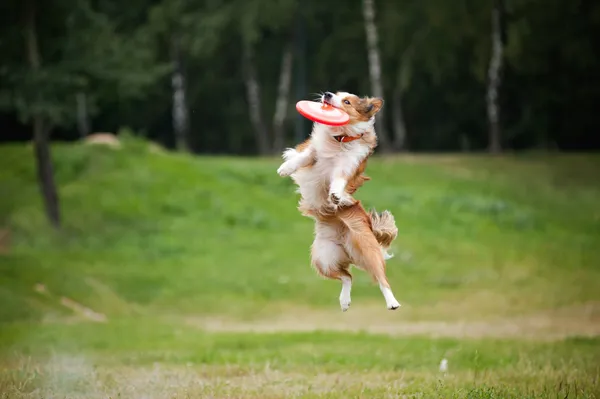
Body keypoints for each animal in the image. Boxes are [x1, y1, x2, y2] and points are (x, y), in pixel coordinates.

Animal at [278, 91, 400, 312]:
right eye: (335, 93)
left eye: (347, 101)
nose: (327, 94)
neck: (340, 138)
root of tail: (347, 249)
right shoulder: (314, 152)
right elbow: (304, 156)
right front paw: (286, 167)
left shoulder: (347, 167)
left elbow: (339, 180)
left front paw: (335, 194)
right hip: (323, 258)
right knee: (347, 276)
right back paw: (344, 301)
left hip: (367, 248)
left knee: (381, 279)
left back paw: (392, 302)